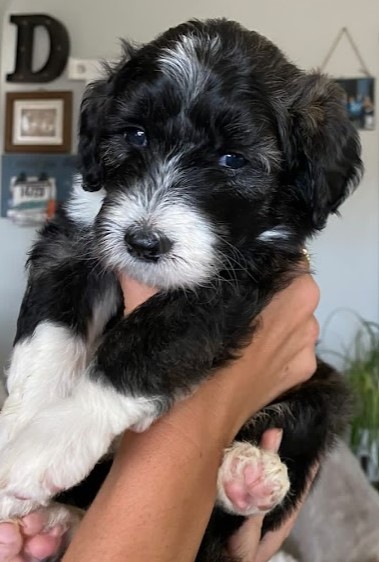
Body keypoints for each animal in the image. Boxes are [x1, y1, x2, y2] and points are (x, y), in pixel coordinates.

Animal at [0, 17, 362, 560]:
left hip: (326, 388)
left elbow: (139, 348)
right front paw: (22, 419)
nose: (143, 242)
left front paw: (42, 447)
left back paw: (249, 474)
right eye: (136, 135)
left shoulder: (232, 284)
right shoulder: (73, 242)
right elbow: (48, 335)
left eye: (233, 159)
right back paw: (55, 521)